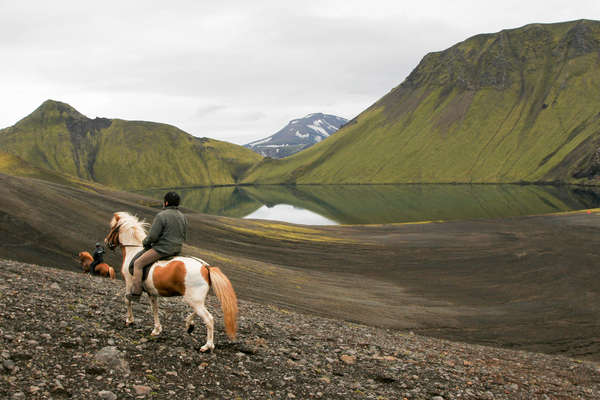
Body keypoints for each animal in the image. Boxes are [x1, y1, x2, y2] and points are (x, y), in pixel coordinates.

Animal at [103, 211, 237, 352]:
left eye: (112, 228)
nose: (106, 241)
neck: (133, 250)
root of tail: (205, 267)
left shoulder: (129, 283)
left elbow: (127, 300)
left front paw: (129, 320)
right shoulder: (152, 293)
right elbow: (154, 308)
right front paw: (157, 329)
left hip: (193, 299)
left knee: (209, 319)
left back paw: (207, 346)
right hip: (196, 299)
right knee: (199, 312)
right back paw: (189, 324)